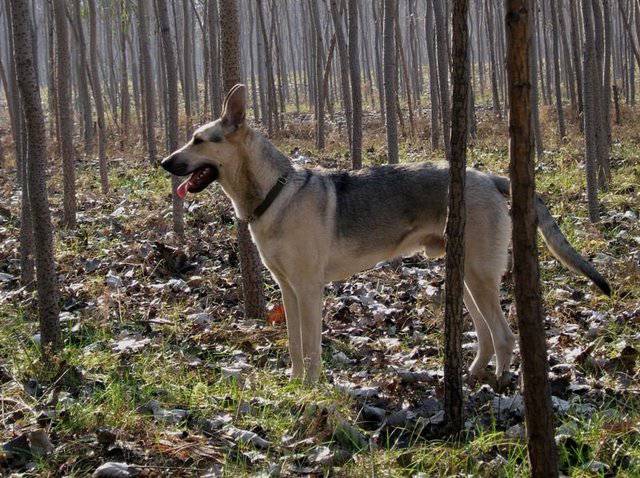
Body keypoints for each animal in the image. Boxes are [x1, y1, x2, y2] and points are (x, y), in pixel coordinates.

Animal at [160, 84, 608, 386]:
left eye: (199, 140)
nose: (164, 162)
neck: (273, 193)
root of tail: (489, 177)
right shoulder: (287, 289)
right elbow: (294, 346)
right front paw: (295, 385)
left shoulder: (308, 289)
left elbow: (312, 348)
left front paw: (313, 389)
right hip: (463, 276)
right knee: (484, 335)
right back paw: (469, 378)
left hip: (479, 277)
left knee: (504, 336)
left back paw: (495, 388)